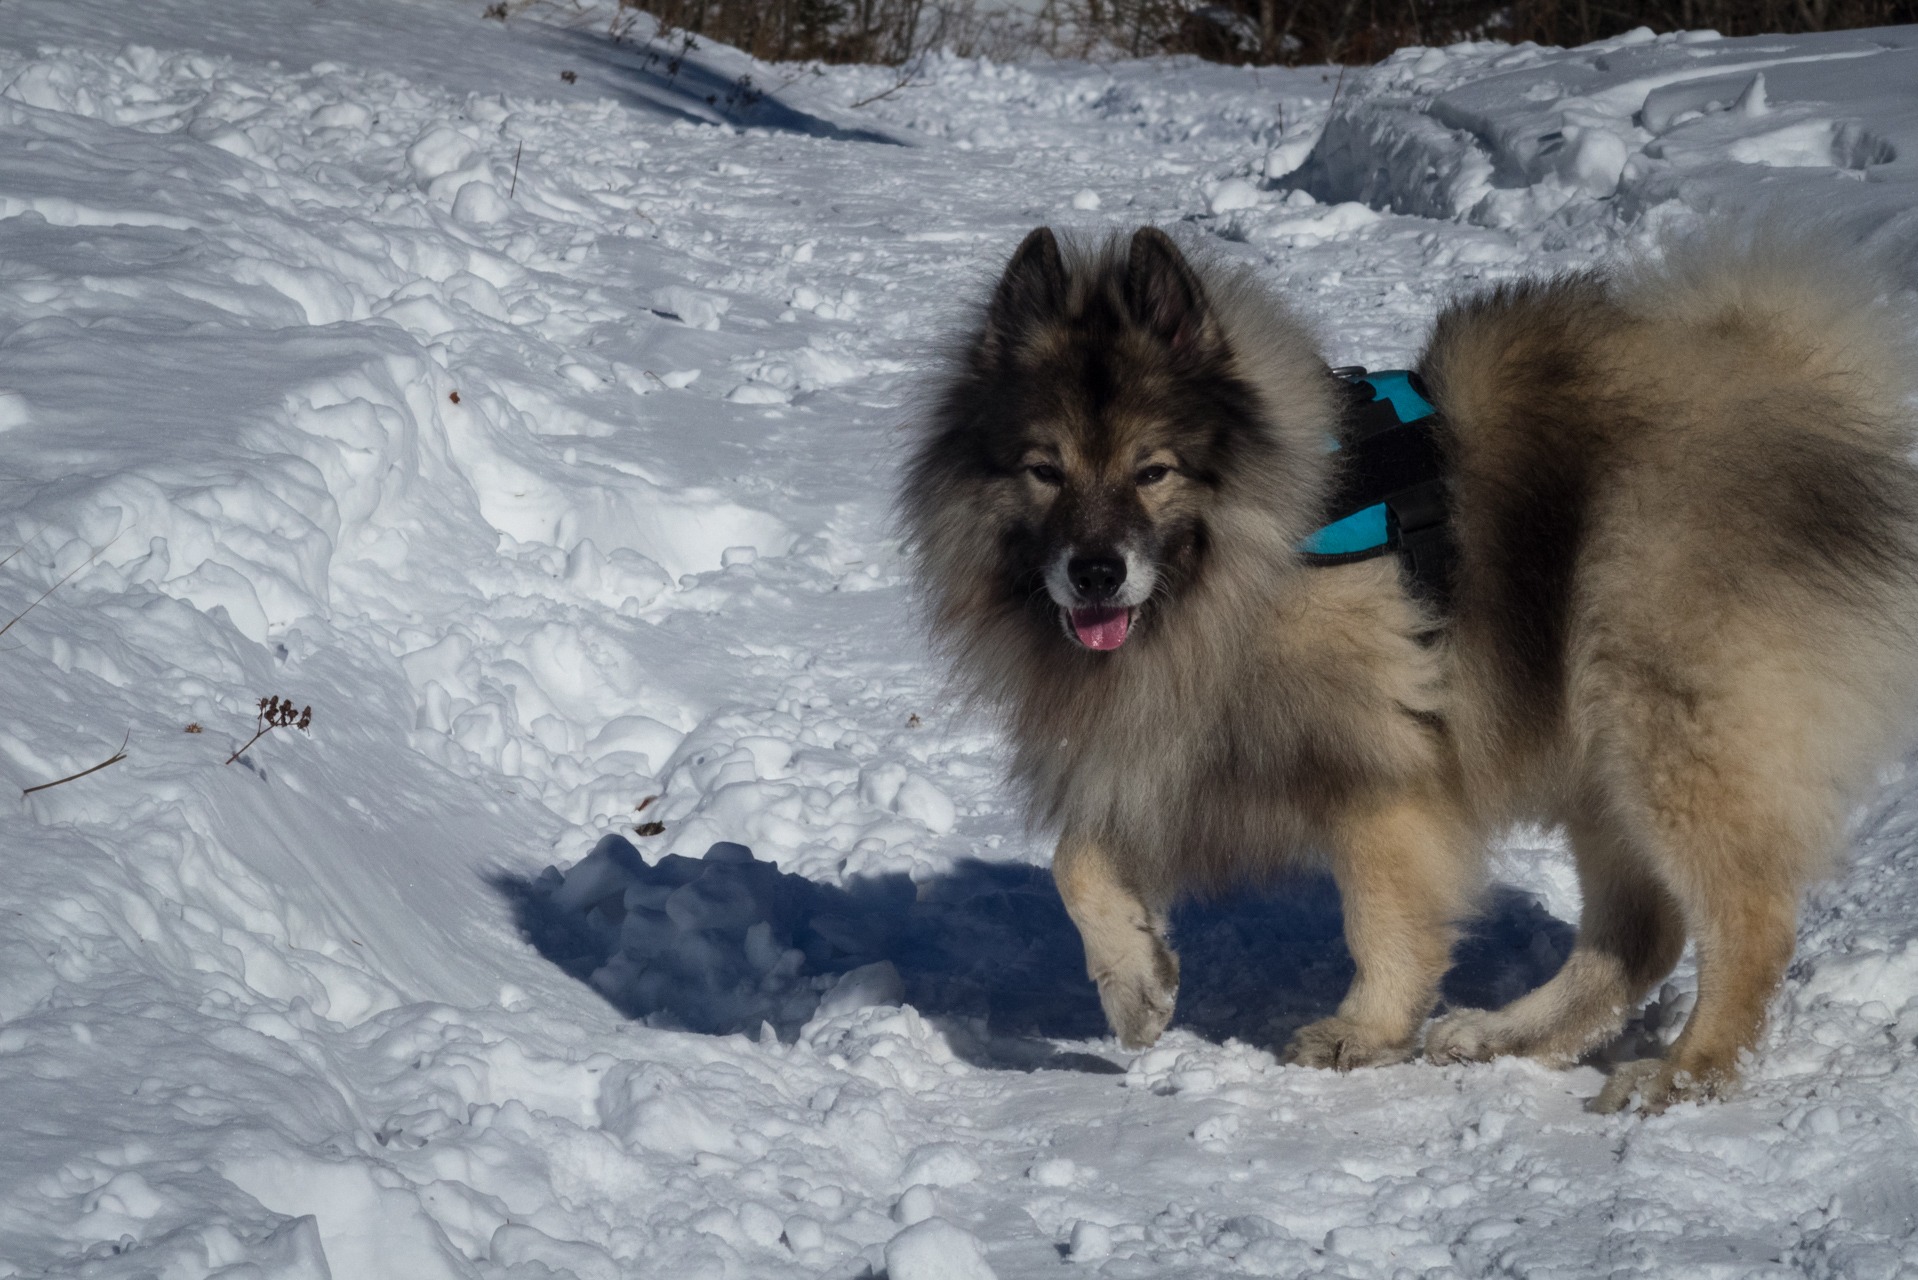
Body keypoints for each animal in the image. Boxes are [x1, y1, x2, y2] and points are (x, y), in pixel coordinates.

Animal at [897, 225, 1918, 1113]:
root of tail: (1798, 393)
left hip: (1661, 725)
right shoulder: (1173, 734)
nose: (1096, 571)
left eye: (1153, 471)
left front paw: (1363, 1030)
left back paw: (1685, 1075)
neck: (1257, 552)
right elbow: (1077, 861)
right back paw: (1511, 1034)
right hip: (1600, 752)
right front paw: (1136, 984)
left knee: (1747, 925)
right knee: (1642, 933)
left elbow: (1384, 914)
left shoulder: (1377, 767)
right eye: (1044, 470)